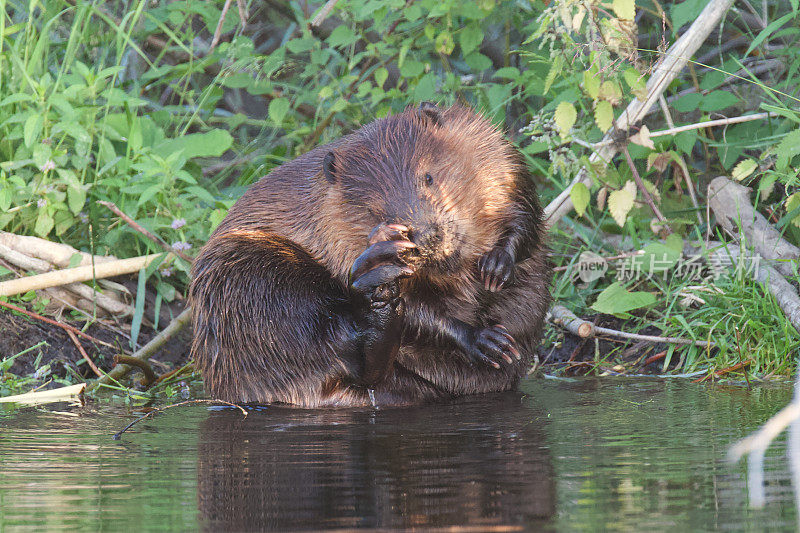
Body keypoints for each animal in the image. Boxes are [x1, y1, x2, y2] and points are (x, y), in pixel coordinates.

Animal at [189, 102, 552, 406]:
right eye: (372, 210)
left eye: (429, 177)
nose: (426, 238)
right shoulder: (331, 232)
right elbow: (420, 312)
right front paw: (486, 341)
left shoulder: (491, 149)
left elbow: (526, 209)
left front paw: (497, 266)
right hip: (244, 274)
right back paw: (378, 291)